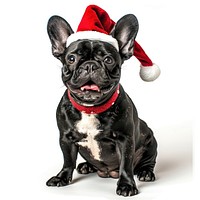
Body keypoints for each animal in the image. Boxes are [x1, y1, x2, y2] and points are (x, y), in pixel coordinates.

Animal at [45, 12, 158, 197]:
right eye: (71, 58)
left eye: (108, 59)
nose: (90, 65)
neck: (90, 109)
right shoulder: (66, 139)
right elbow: (67, 160)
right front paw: (62, 177)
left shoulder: (125, 140)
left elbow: (126, 164)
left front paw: (126, 185)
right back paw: (86, 166)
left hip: (150, 142)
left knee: (148, 161)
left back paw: (145, 172)